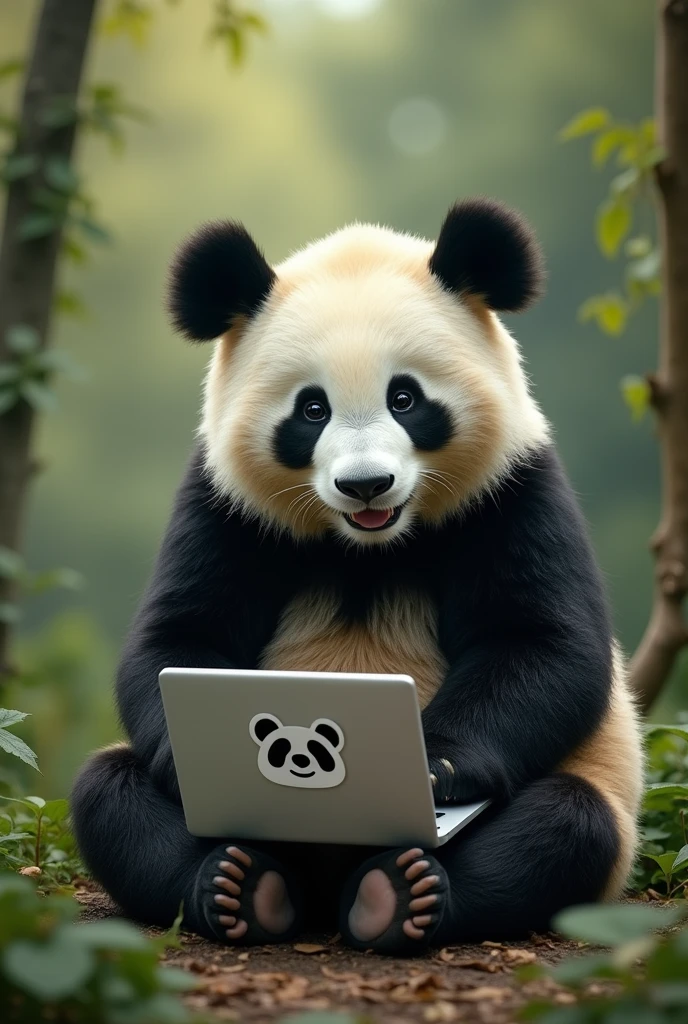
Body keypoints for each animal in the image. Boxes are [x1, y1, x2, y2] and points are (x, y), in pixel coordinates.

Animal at [71, 197, 647, 950]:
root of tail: (326, 883)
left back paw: (399, 894)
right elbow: (181, 632)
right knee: (107, 793)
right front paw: (193, 764)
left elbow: (542, 642)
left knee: (566, 825)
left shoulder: (511, 489)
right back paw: (240, 885)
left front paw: (434, 764)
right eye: (311, 409)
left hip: (597, 805)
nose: (366, 484)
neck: (368, 546)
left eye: (406, 398)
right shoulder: (225, 505)